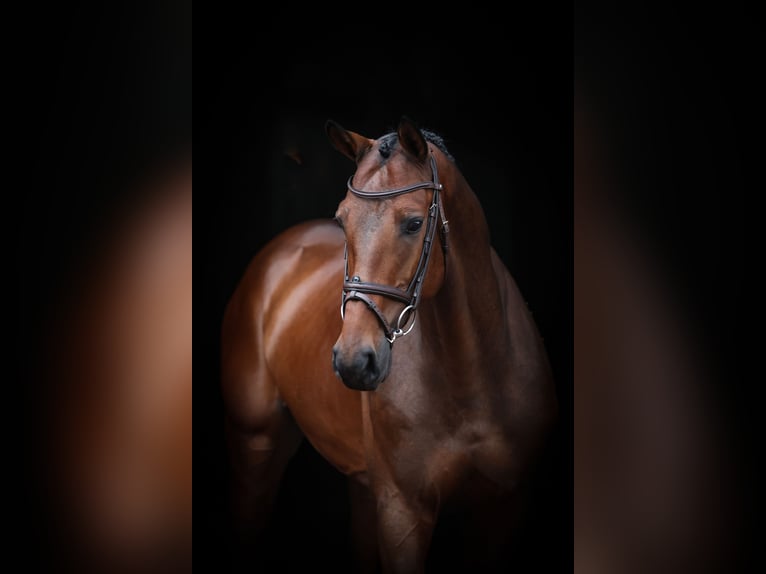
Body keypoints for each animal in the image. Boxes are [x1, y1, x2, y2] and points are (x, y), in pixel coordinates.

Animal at [221, 117, 558, 573]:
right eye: (342, 220)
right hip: (256, 445)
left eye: (414, 224)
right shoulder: (404, 512)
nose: (353, 361)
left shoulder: (505, 507)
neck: (472, 377)